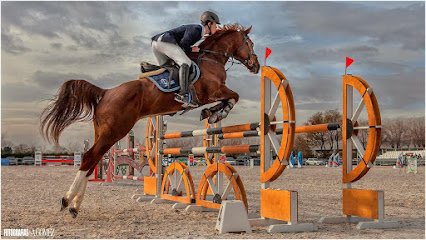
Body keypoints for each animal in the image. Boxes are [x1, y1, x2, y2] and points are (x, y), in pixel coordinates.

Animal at [40, 23, 260, 218]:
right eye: (250, 43)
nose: (256, 66)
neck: (211, 59)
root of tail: (105, 92)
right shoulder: (214, 91)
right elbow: (234, 97)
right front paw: (215, 113)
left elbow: (229, 99)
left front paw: (211, 113)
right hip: (114, 131)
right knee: (88, 157)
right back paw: (67, 201)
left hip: (103, 132)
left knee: (93, 159)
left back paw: (74, 206)